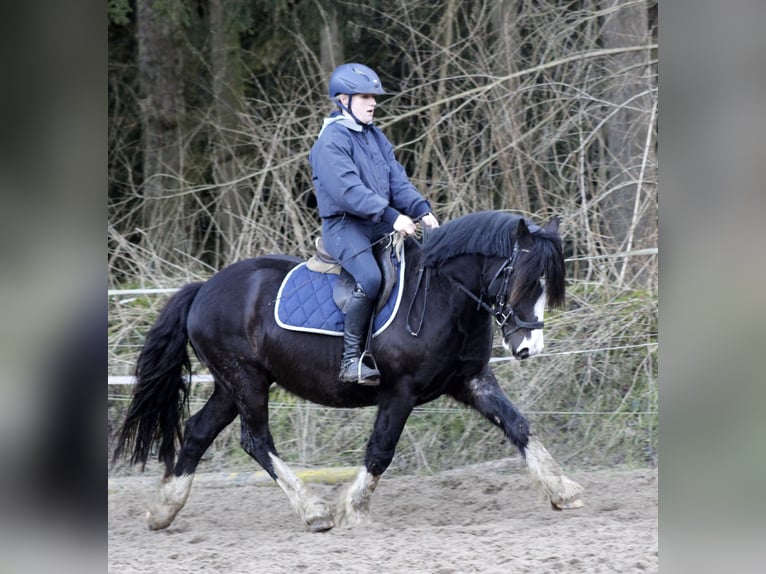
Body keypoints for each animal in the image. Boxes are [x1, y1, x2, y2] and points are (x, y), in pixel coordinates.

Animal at [112, 211, 584, 532]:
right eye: (521, 281)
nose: (528, 348)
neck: (442, 295)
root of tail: (203, 289)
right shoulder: (400, 392)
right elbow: (380, 450)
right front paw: (351, 509)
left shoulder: (471, 381)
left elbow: (518, 425)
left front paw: (562, 490)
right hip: (246, 381)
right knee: (256, 440)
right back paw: (313, 511)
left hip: (232, 386)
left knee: (197, 432)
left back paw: (163, 510)